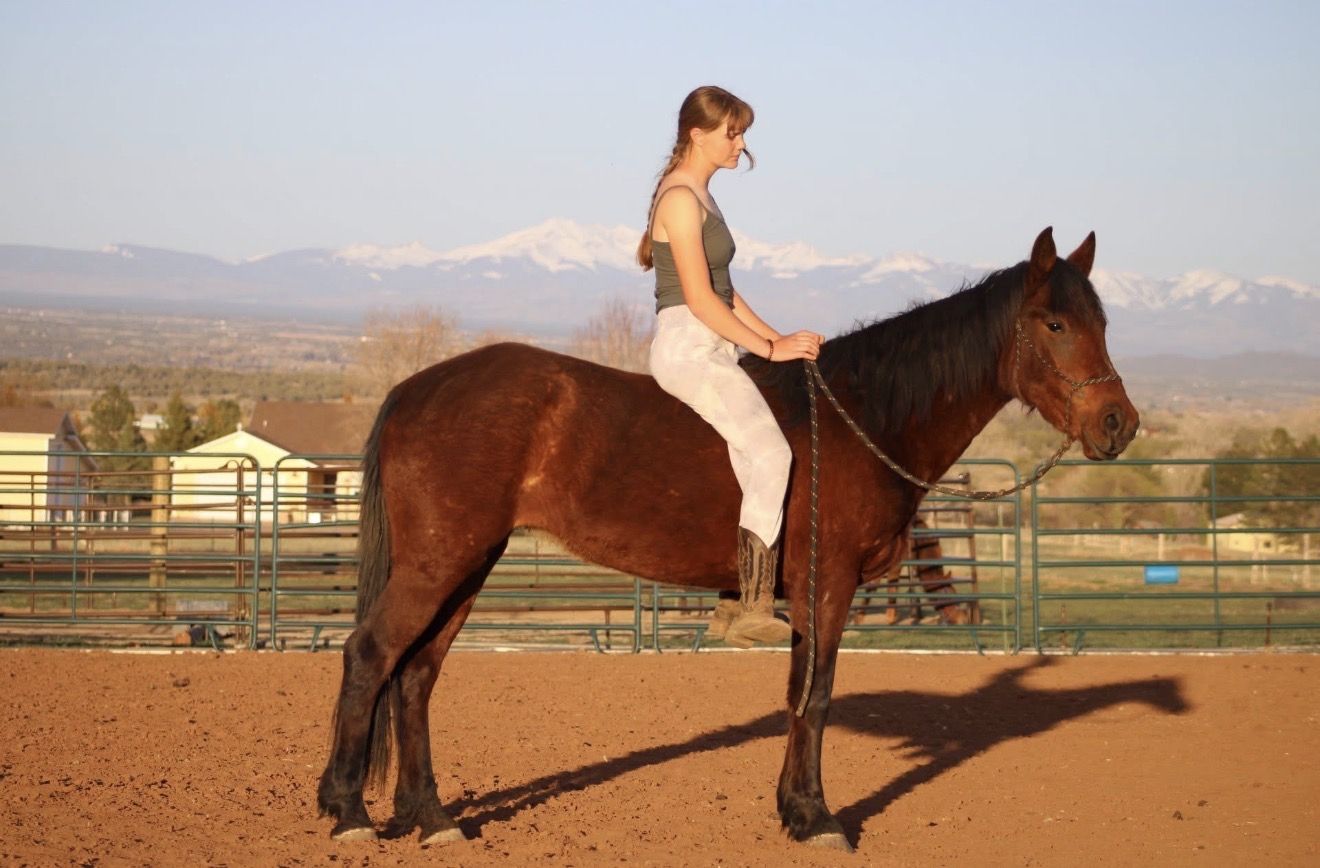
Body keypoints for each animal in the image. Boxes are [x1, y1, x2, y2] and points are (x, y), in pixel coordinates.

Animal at [317, 227, 1139, 850]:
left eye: (1103, 324)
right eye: (1055, 324)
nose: (1118, 425)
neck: (861, 418)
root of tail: (415, 388)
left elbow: (799, 694)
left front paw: (792, 809)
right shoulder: (828, 586)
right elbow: (816, 695)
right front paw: (817, 819)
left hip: (468, 562)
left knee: (417, 674)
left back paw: (432, 817)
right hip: (441, 560)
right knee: (371, 655)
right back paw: (349, 812)